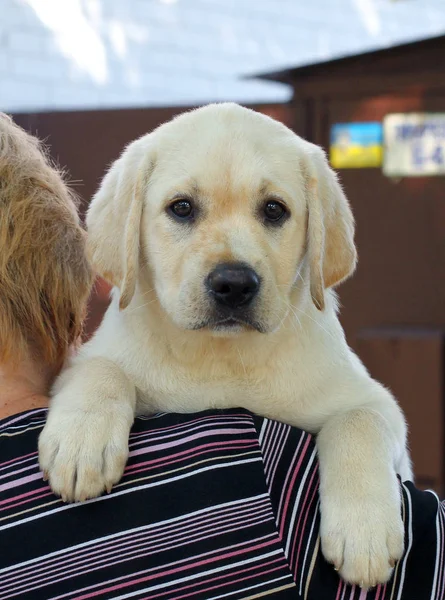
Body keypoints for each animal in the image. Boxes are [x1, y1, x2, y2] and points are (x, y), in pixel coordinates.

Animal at [40, 103, 412, 584]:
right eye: (181, 208)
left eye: (274, 210)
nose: (234, 284)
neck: (222, 358)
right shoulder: (88, 357)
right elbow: (101, 369)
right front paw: (80, 443)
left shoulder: (376, 402)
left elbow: (360, 421)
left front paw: (364, 533)